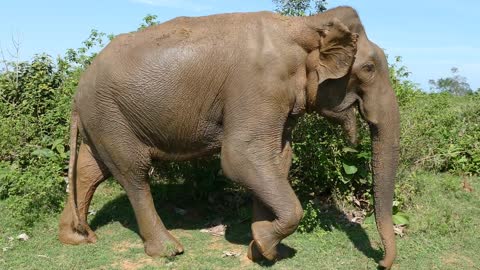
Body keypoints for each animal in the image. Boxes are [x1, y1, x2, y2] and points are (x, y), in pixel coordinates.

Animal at [58, 5, 400, 268]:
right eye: (369, 68)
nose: (381, 263)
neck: (305, 25)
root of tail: (76, 94)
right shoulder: (259, 84)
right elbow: (240, 158)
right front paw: (264, 244)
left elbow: (277, 160)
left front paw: (262, 249)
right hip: (111, 114)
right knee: (134, 172)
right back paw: (169, 249)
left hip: (103, 119)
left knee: (91, 170)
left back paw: (76, 237)